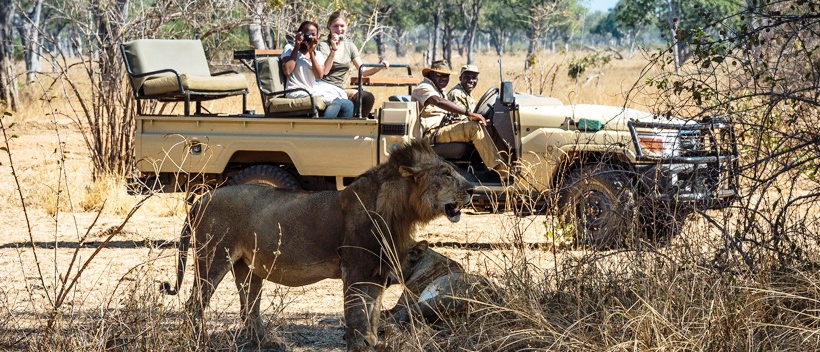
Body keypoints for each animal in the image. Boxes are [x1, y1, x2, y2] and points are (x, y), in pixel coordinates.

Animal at [160, 141, 474, 352]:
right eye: (446, 173)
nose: (472, 188)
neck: (399, 211)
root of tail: (202, 199)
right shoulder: (355, 269)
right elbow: (356, 313)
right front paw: (357, 345)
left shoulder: (378, 272)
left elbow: (373, 313)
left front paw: (373, 343)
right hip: (213, 258)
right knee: (194, 304)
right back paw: (199, 342)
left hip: (247, 268)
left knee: (249, 307)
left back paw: (267, 343)